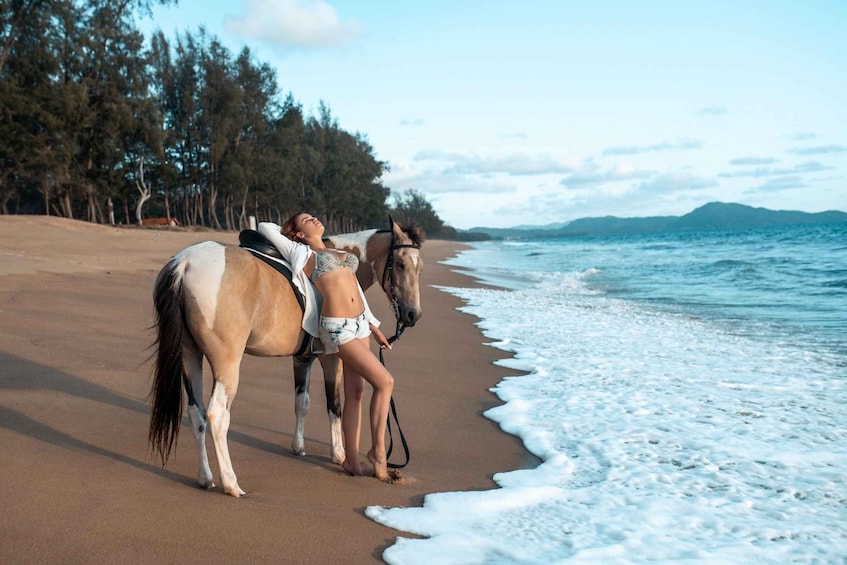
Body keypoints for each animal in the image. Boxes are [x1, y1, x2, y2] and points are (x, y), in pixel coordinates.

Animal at [148, 220, 424, 496]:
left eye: (419, 266)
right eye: (400, 264)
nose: (413, 315)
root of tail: (185, 263)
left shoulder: (302, 359)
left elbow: (302, 402)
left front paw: (298, 446)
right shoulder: (331, 359)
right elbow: (334, 405)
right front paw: (338, 453)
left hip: (189, 356)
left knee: (197, 414)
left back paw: (205, 478)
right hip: (226, 364)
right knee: (217, 416)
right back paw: (231, 483)